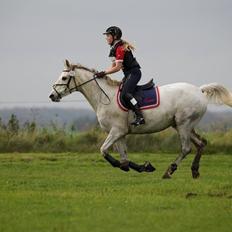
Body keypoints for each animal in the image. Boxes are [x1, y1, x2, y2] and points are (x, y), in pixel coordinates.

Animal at [49, 59, 232, 178]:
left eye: (64, 78)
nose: (52, 95)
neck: (104, 97)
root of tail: (199, 90)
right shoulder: (120, 134)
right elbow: (123, 159)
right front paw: (145, 167)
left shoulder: (117, 131)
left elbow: (104, 151)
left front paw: (144, 167)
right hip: (181, 125)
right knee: (201, 143)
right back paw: (194, 170)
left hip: (183, 124)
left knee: (186, 148)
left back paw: (169, 171)